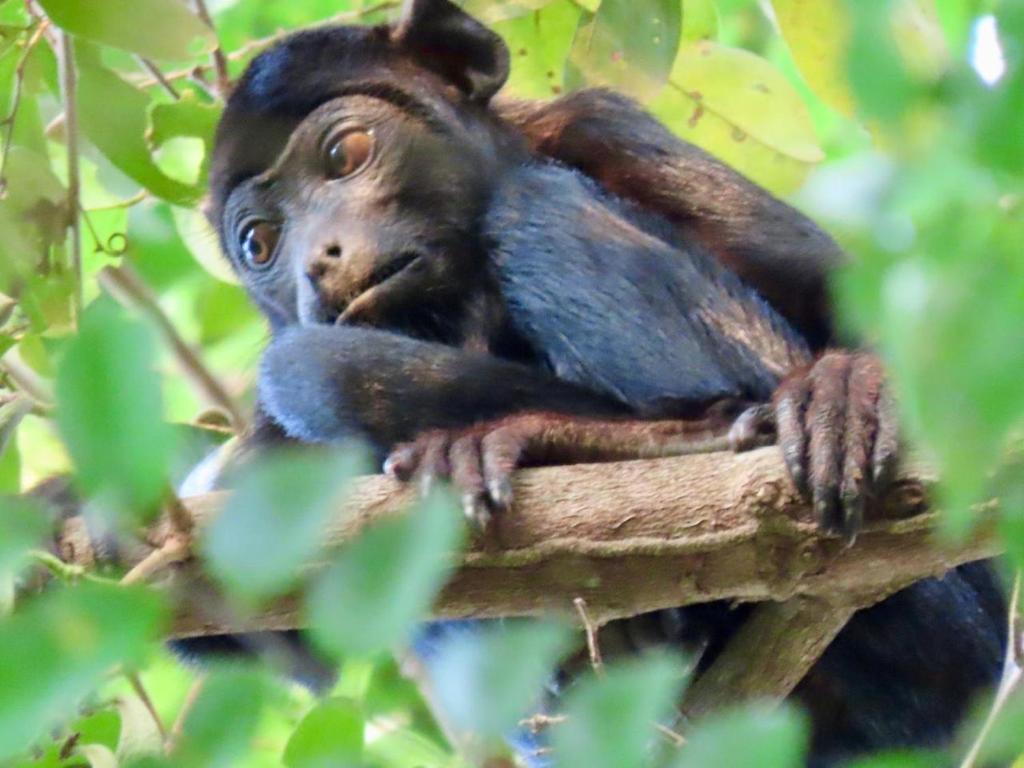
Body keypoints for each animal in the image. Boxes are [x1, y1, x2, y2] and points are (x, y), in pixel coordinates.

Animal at [184, 0, 1005, 764]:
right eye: (260, 243)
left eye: (345, 151)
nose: (317, 261)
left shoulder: (601, 127)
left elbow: (848, 306)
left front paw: (850, 387)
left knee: (531, 203)